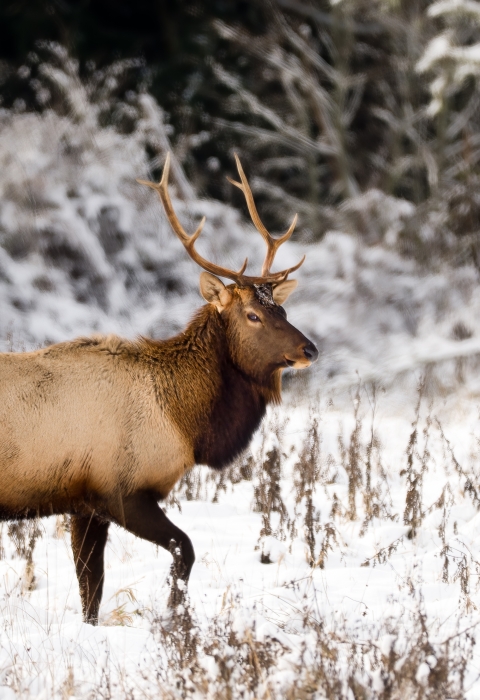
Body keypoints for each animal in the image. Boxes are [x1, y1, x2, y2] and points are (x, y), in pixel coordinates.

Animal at [0, 153, 318, 624]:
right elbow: (183, 549)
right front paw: (174, 617)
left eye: (282, 308)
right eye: (252, 315)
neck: (182, 422)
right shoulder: (118, 490)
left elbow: (91, 591)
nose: (309, 348)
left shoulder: (83, 503)